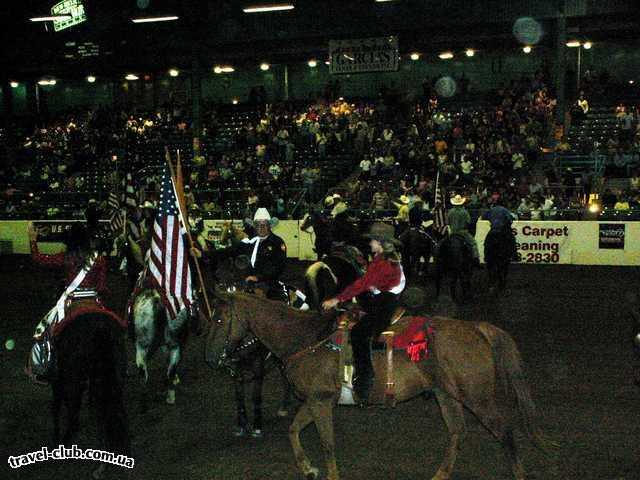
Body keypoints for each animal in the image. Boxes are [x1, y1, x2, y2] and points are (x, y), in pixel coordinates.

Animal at [52, 306, 132, 478]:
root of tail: (100, 330)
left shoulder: (60, 382)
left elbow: (56, 409)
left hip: (75, 382)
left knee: (76, 418)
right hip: (112, 382)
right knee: (113, 415)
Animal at [206, 292, 556, 480]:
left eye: (220, 320)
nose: (213, 359)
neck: (308, 339)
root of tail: (477, 328)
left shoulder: (321, 402)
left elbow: (327, 443)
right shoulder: (315, 401)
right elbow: (294, 430)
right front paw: (307, 469)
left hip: (477, 397)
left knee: (504, 430)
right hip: (447, 395)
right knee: (458, 432)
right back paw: (440, 474)